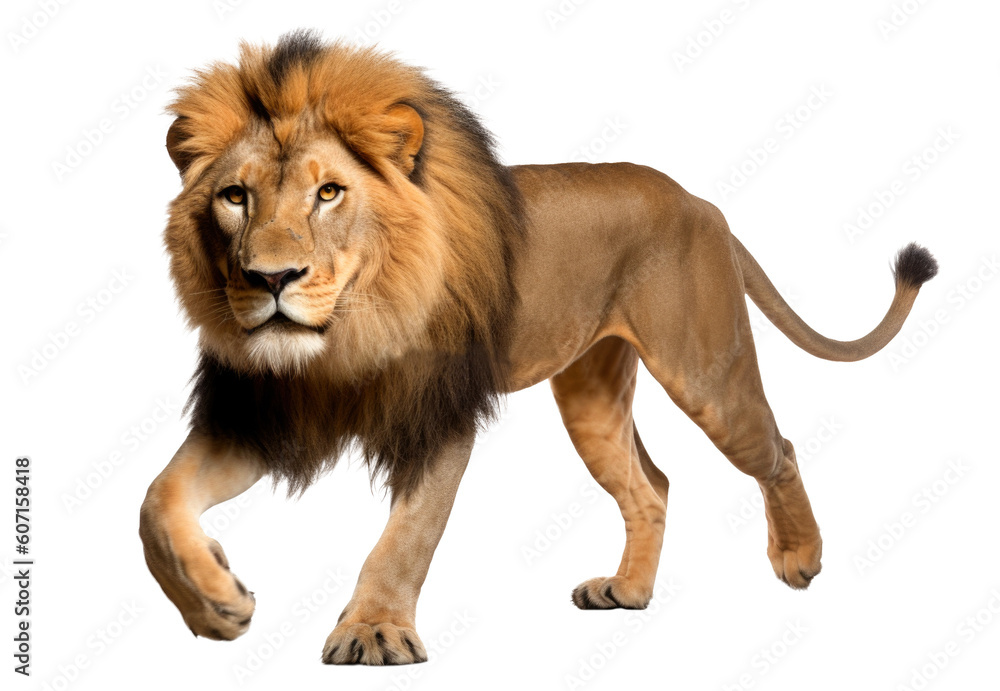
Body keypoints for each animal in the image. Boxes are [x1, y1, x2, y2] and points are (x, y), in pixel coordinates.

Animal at [139, 30, 938, 665]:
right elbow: (157, 502)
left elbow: (406, 535)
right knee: (653, 484)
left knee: (779, 449)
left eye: (329, 193)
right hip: (590, 394)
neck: (346, 340)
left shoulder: (441, 415)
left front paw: (374, 632)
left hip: (706, 373)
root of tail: (702, 205)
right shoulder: (257, 417)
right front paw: (216, 600)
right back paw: (629, 591)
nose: (270, 278)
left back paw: (800, 557)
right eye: (235, 197)